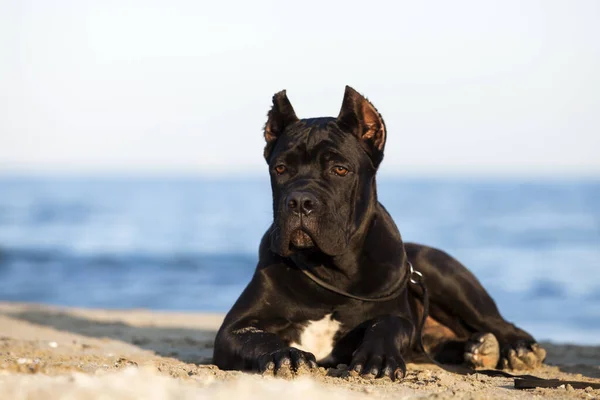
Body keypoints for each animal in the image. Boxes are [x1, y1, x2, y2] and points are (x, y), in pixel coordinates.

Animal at [213, 86, 548, 380]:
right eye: (280, 169)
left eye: (340, 170)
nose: (299, 202)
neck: (331, 272)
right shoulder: (233, 328)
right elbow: (256, 337)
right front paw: (284, 354)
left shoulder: (399, 317)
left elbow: (388, 323)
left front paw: (380, 358)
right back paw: (479, 348)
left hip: (442, 271)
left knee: (497, 322)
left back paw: (515, 348)